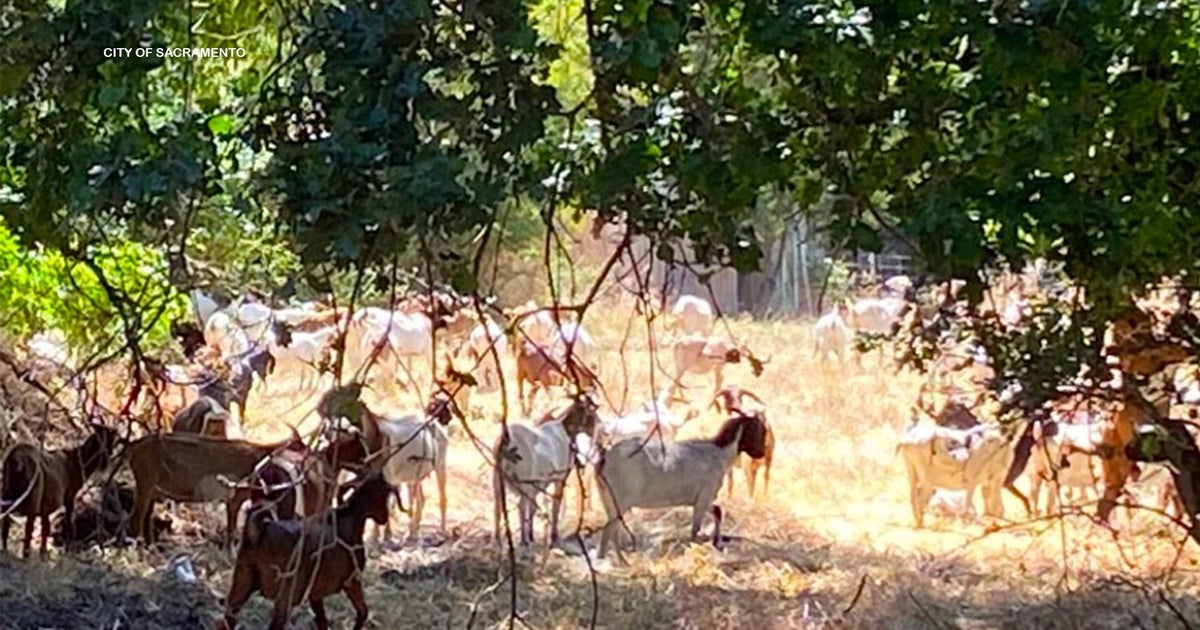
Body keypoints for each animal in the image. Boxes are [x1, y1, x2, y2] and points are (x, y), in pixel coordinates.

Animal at [1, 424, 119, 558]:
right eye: (102, 439)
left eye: (111, 439)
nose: (107, 459)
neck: (78, 462)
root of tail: (16, 459)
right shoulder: (69, 496)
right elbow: (68, 523)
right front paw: (68, 550)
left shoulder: (46, 504)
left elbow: (45, 528)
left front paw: (43, 553)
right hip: (33, 498)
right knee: (27, 529)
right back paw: (26, 556)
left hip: (6, 491)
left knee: (5, 526)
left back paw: (5, 550)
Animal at [217, 473, 392, 630]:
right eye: (382, 495)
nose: (385, 517)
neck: (349, 519)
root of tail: (259, 532)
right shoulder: (352, 582)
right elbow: (363, 612)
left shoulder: (315, 594)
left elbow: (322, 621)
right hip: (285, 597)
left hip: (242, 585)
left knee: (228, 620)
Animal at [493, 394, 600, 546]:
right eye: (591, 414)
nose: (600, 430)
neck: (564, 431)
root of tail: (507, 440)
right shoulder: (559, 479)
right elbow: (555, 505)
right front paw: (554, 537)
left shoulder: (538, 484)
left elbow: (533, 507)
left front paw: (532, 535)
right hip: (523, 481)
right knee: (521, 505)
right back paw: (524, 541)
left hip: (497, 478)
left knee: (497, 506)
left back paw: (498, 540)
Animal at [595, 410, 769, 562]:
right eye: (759, 430)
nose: (761, 453)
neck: (718, 454)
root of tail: (605, 458)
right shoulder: (703, 498)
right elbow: (695, 529)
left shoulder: (703, 500)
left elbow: (717, 511)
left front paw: (716, 543)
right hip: (620, 500)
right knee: (608, 530)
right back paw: (610, 561)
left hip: (608, 500)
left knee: (613, 530)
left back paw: (618, 561)